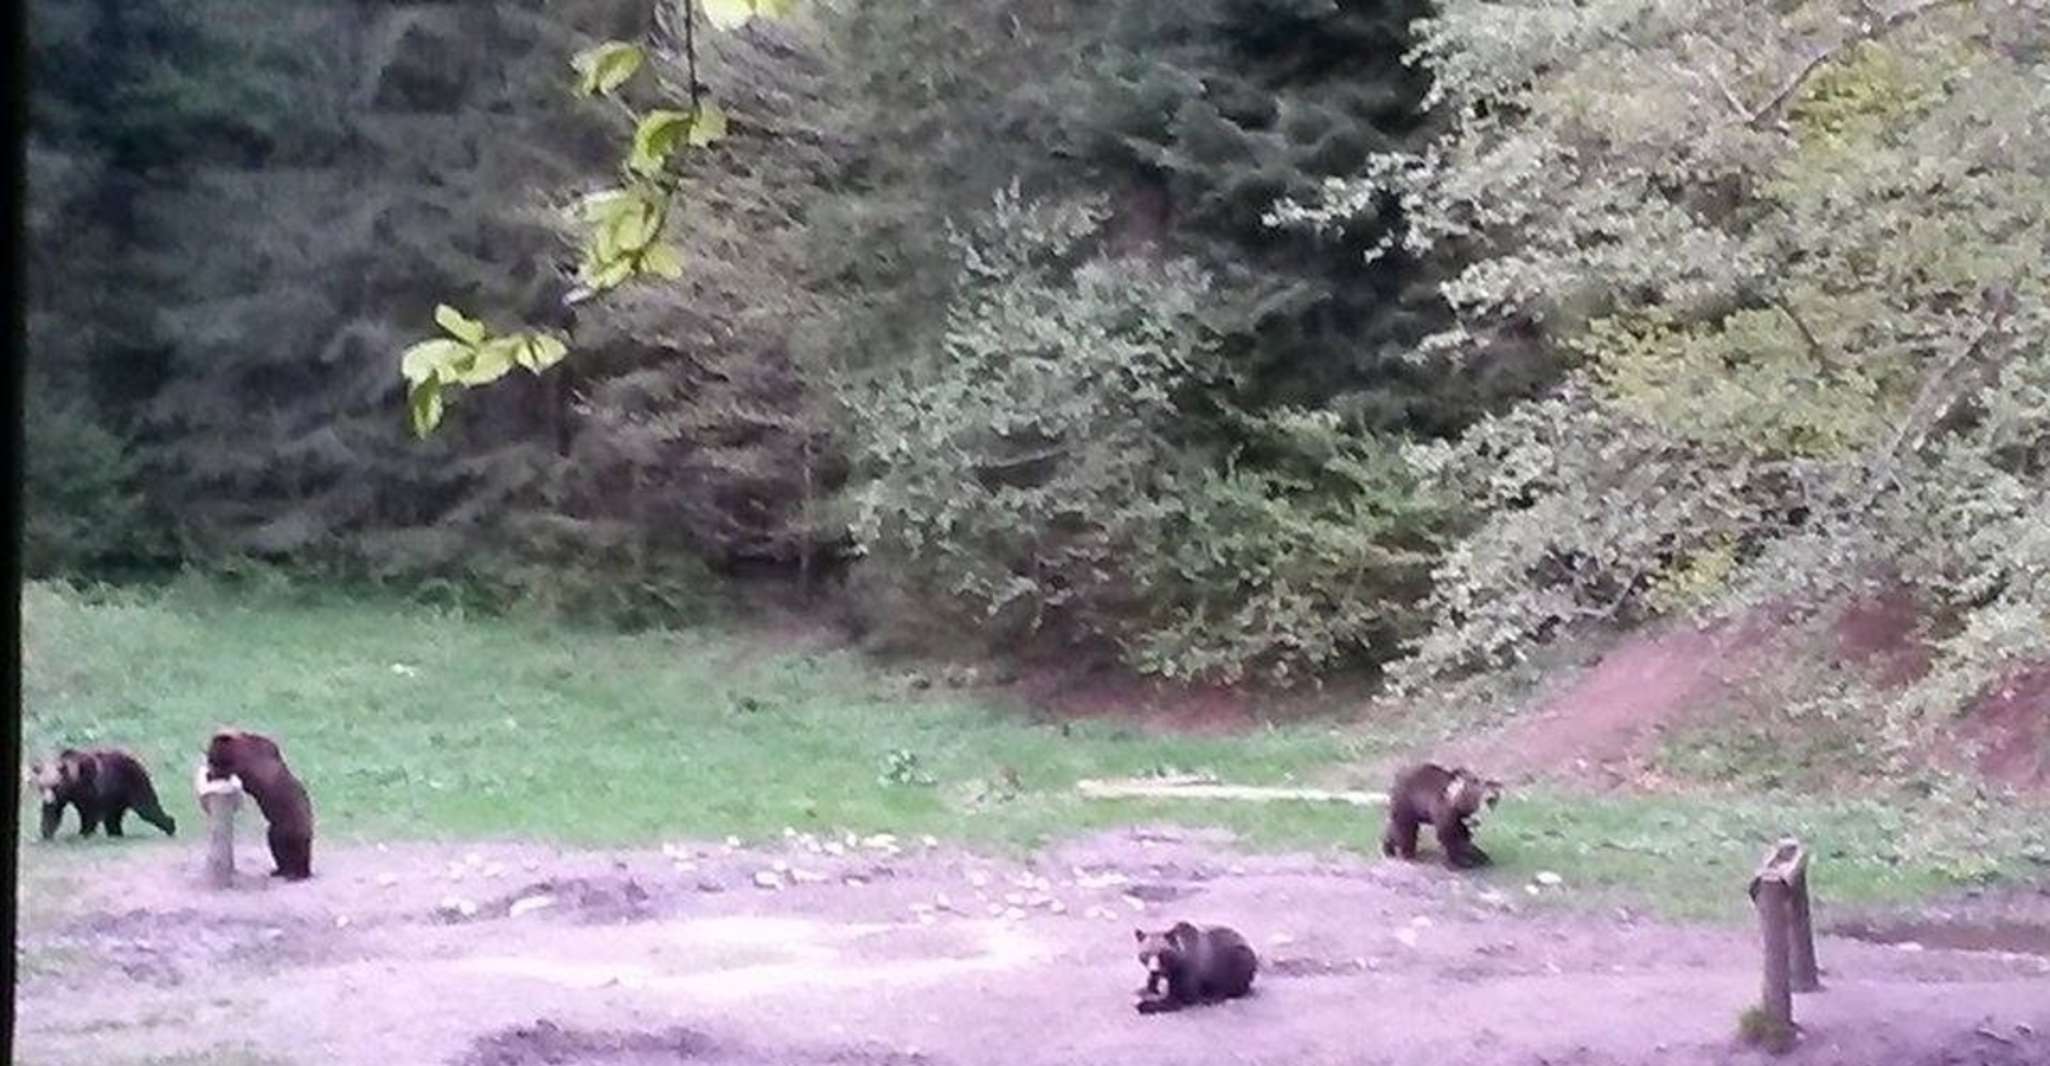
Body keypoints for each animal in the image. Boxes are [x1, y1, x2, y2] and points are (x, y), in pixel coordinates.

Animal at [27, 747, 178, 841]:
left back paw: (170, 826)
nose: (48, 801)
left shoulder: (90, 788)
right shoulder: (63, 797)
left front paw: (83, 833)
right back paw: (116, 834)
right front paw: (46, 834)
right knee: (113, 818)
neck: (74, 783)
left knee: (147, 808)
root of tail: (138, 762)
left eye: (55, 786)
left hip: (133, 785)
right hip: (116, 798)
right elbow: (52, 813)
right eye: (42, 786)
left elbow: (89, 813)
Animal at [204, 729, 315, 880]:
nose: (207, 758)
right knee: (277, 846)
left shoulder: (248, 765)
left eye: (211, 752)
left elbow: (230, 770)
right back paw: (279, 871)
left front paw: (212, 774)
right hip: (277, 828)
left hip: (293, 825)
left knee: (295, 849)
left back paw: (297, 874)